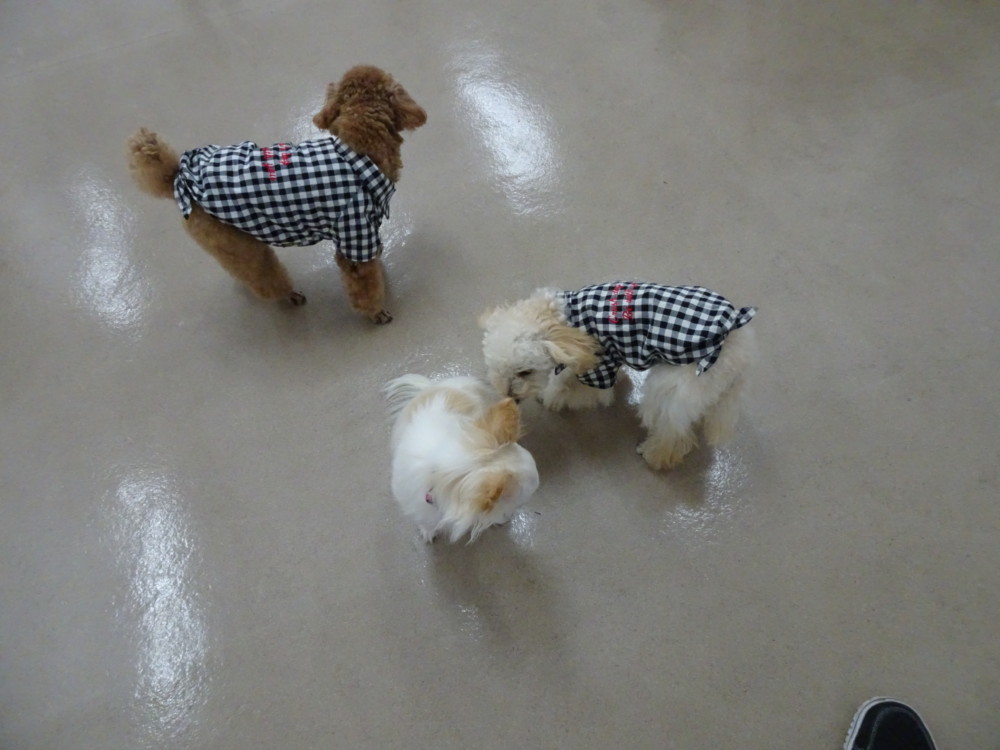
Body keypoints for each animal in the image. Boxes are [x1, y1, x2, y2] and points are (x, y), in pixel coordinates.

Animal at [126, 65, 426, 324]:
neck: (360, 148)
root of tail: (178, 176)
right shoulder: (353, 233)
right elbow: (365, 287)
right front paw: (376, 313)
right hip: (238, 243)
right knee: (264, 277)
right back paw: (290, 295)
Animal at [479, 282, 757, 470]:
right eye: (497, 369)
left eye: (524, 372)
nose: (511, 397)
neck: (564, 317)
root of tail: (735, 341)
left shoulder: (600, 365)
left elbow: (580, 389)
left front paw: (552, 396)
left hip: (672, 382)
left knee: (673, 433)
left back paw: (656, 454)